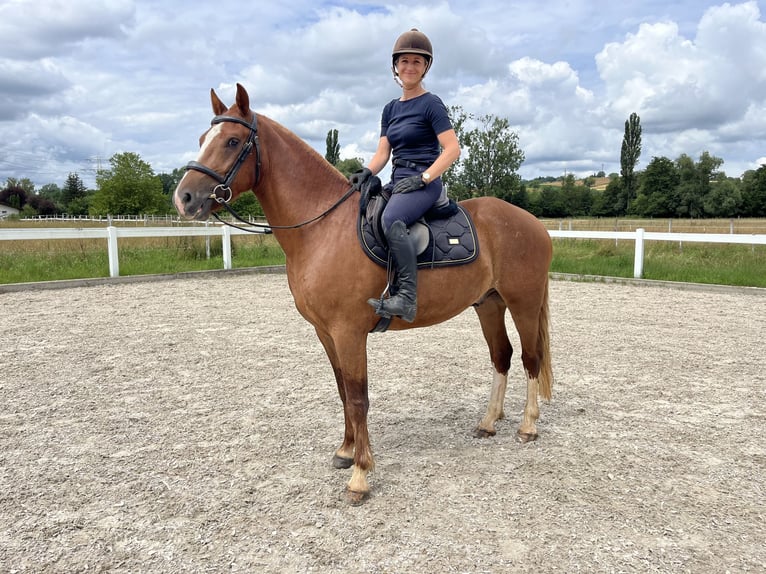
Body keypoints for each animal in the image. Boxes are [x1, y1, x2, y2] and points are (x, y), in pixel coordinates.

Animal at [173, 84, 556, 504]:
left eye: (232, 140)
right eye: (202, 139)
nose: (184, 198)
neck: (322, 227)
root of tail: (532, 223)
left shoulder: (349, 332)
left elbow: (358, 397)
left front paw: (360, 474)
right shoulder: (325, 333)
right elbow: (343, 391)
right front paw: (345, 451)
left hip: (523, 302)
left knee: (531, 357)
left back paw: (528, 426)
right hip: (488, 304)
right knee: (501, 357)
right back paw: (488, 422)